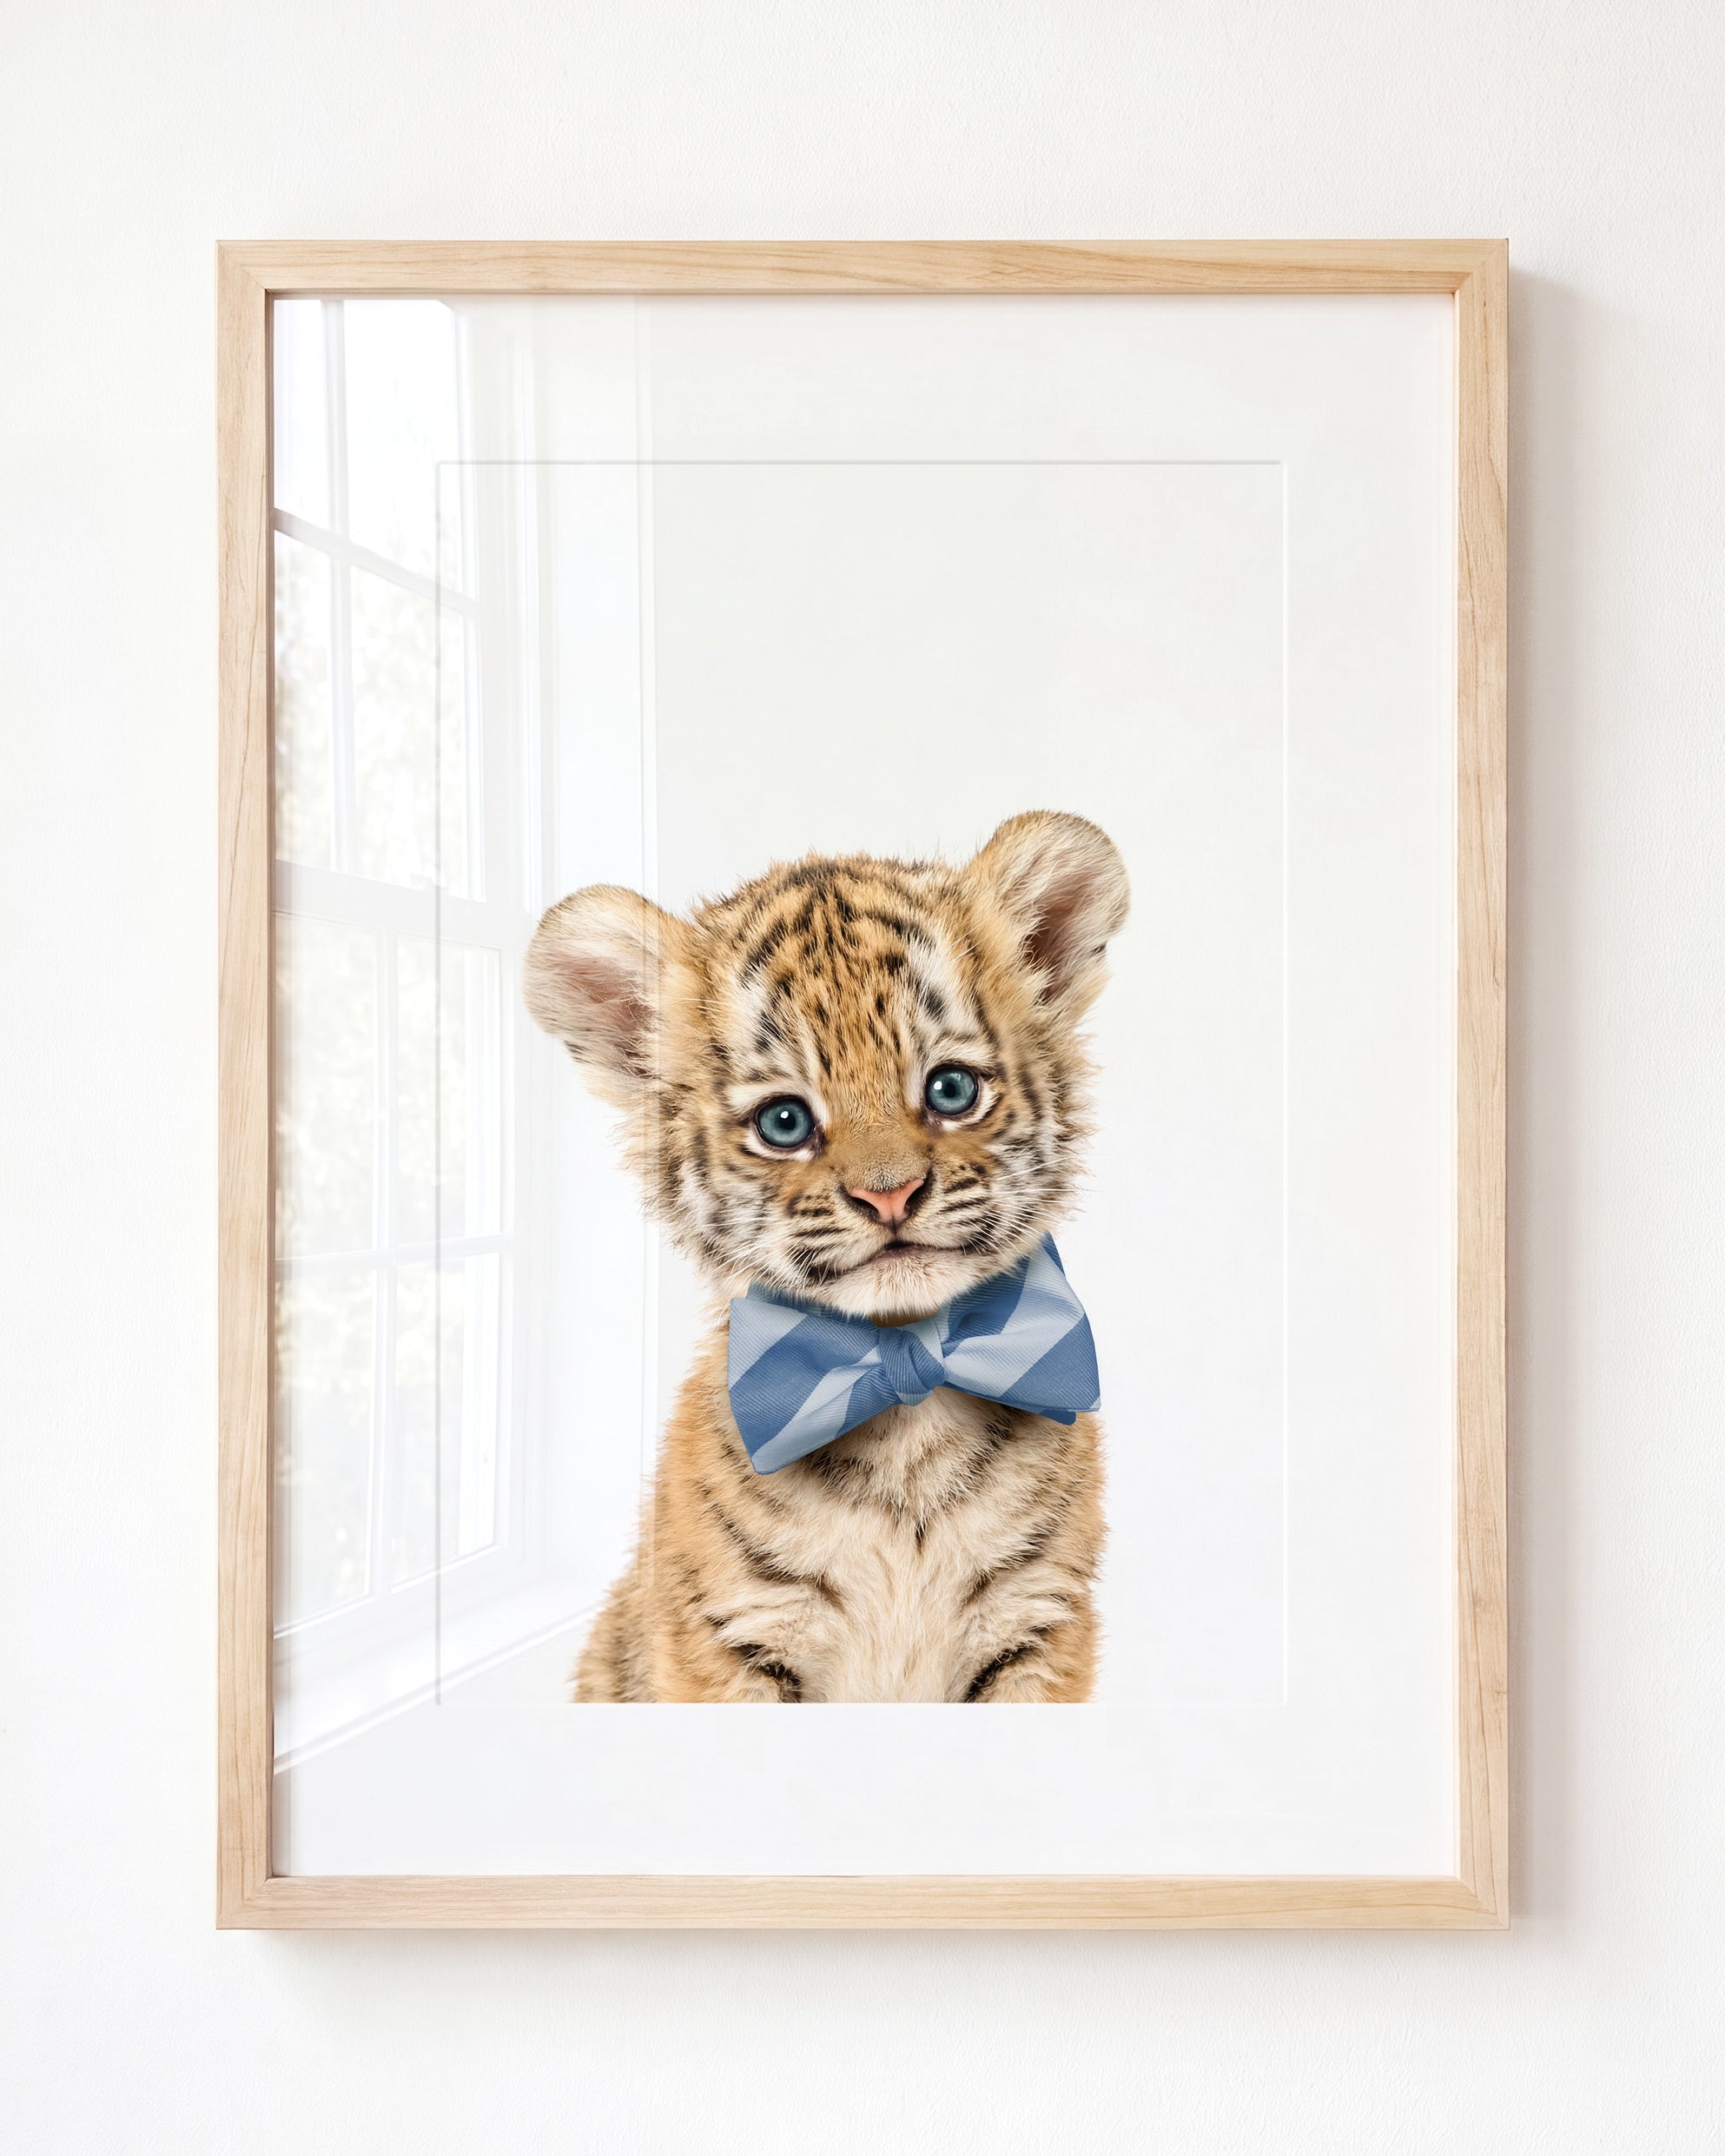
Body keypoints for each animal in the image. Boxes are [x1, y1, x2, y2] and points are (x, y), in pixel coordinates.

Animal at [522, 809, 1129, 1703]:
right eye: (784, 1122)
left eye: (951, 1090)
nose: (890, 1195)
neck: (906, 1398)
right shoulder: (730, 1639)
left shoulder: (1037, 1622)